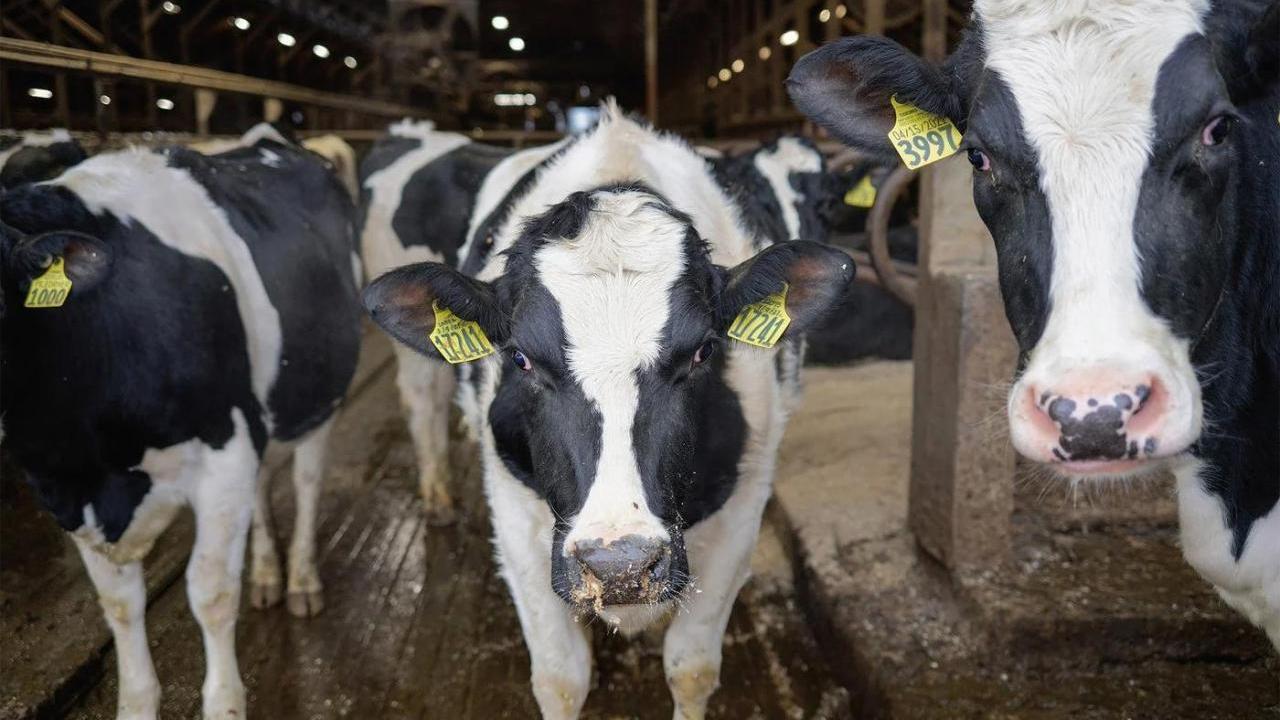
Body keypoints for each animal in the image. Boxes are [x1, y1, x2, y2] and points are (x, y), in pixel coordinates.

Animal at [0, 132, 362, 717]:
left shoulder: (225, 454)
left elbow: (210, 591)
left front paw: (225, 703)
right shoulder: (66, 494)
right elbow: (120, 605)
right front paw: (136, 702)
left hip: (319, 396)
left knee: (307, 484)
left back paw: (302, 581)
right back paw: (267, 574)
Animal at [362, 104, 854, 718]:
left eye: (703, 352)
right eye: (520, 358)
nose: (620, 566)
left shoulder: (742, 505)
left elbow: (691, 669)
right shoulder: (516, 517)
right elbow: (560, 679)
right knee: (421, 399)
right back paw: (437, 500)